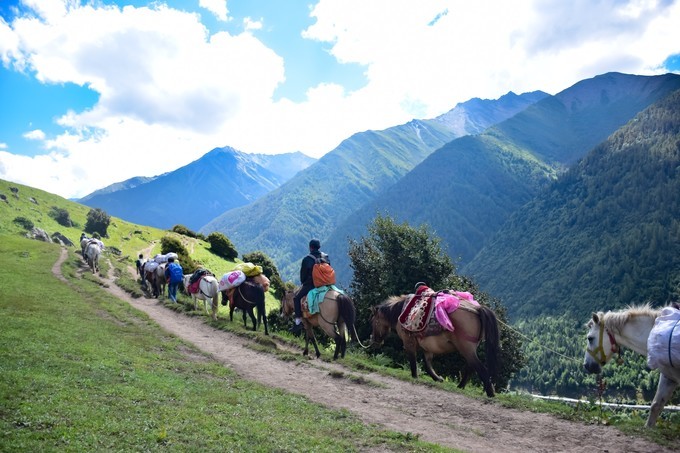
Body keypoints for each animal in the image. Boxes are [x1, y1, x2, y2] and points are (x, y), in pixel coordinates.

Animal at [370, 294, 502, 396]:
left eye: (373, 321)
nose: (374, 340)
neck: (402, 312)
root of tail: (478, 309)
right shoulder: (427, 347)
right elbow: (428, 364)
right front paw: (437, 378)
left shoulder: (409, 342)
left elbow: (413, 361)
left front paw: (415, 376)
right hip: (469, 350)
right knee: (471, 367)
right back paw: (461, 386)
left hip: (466, 348)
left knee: (480, 368)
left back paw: (490, 393)